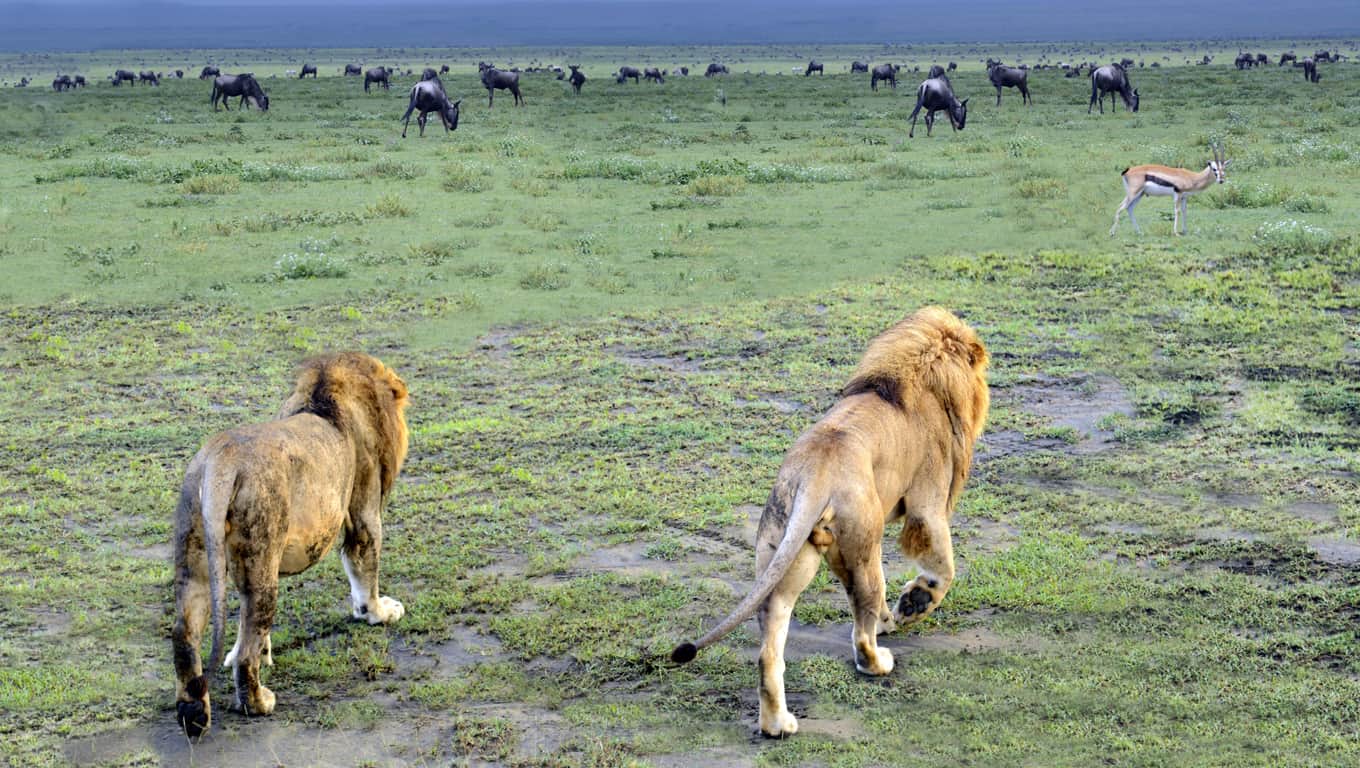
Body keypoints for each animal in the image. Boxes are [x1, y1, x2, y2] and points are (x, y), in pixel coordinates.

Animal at [169, 353, 405, 734]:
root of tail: (222, 459)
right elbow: (364, 567)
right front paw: (379, 612)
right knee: (247, 648)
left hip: (197, 552)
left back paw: (193, 713)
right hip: (261, 549)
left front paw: (258, 653)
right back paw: (258, 702)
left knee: (185, 634)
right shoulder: (364, 509)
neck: (325, 398)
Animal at [671, 305, 984, 734]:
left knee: (770, 645)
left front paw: (893, 615)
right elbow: (943, 567)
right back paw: (879, 662)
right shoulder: (928, 502)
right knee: (862, 632)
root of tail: (815, 471)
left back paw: (777, 724)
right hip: (860, 545)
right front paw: (914, 604)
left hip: (786, 552)